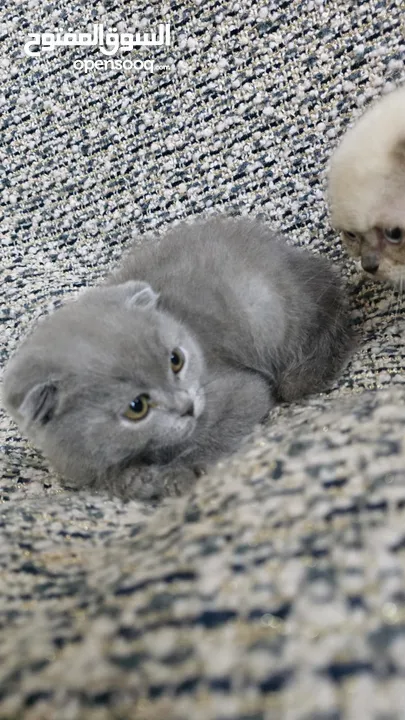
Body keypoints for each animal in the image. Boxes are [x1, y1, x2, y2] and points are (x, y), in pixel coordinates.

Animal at [1, 218, 352, 500]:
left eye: (176, 360)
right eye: (137, 407)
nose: (187, 406)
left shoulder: (241, 389)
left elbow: (217, 433)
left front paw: (181, 472)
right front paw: (135, 479)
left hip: (264, 306)